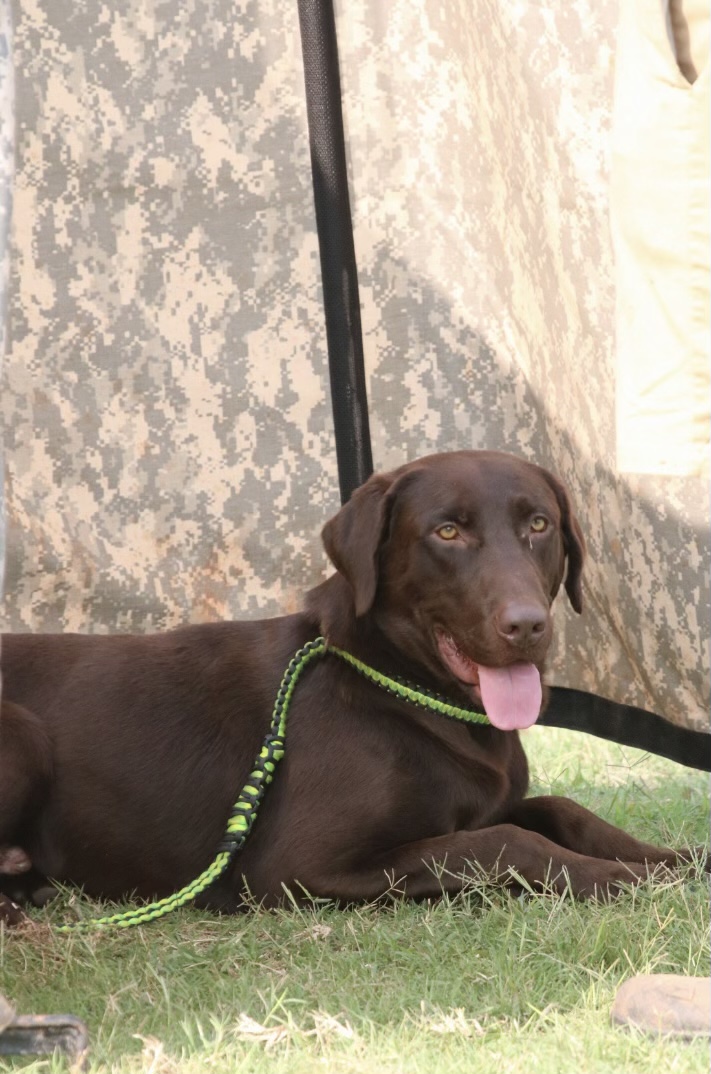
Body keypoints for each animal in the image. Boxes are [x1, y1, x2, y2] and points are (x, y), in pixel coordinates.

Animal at [0, 448, 700, 919]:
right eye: (448, 530)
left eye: (538, 524)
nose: (527, 625)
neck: (407, 690)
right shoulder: (297, 866)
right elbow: (505, 843)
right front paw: (625, 878)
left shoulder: (488, 802)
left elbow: (561, 809)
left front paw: (675, 859)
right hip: (21, 732)